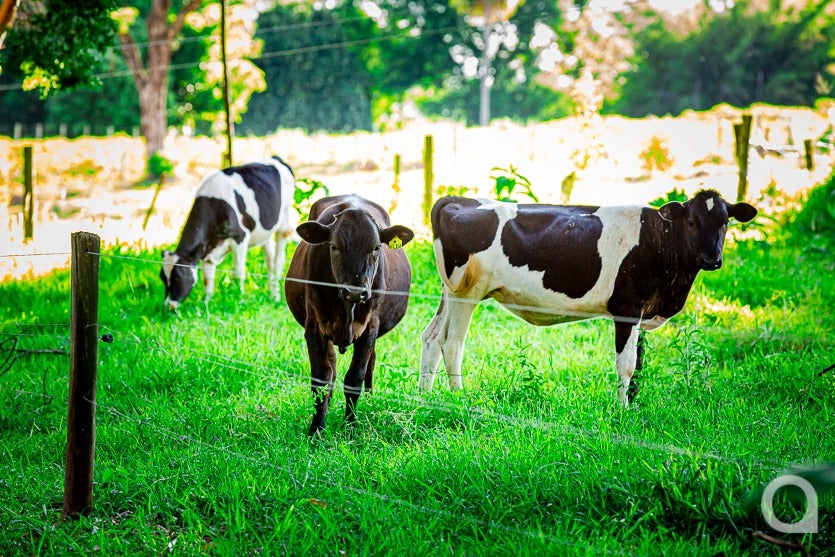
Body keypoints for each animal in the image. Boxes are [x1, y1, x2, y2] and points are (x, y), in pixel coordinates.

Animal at [160, 156, 295, 310]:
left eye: (177, 277)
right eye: (162, 278)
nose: (167, 306)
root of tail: (275, 158)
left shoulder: (240, 237)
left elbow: (238, 273)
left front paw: (240, 299)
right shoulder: (207, 250)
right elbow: (207, 279)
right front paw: (206, 303)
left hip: (284, 220)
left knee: (278, 258)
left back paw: (276, 295)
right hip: (265, 231)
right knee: (270, 261)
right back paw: (273, 295)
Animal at [285, 194, 414, 435]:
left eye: (376, 248)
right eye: (334, 247)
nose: (355, 291)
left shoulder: (370, 328)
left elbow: (354, 379)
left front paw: (350, 427)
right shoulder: (314, 328)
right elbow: (320, 381)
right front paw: (317, 429)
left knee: (370, 362)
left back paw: (370, 399)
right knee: (331, 371)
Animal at [419, 190, 757, 405]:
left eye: (725, 222)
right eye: (692, 222)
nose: (712, 259)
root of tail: (458, 198)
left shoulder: (644, 309)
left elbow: (640, 364)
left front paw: (633, 406)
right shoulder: (627, 308)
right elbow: (627, 365)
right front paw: (621, 411)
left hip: (450, 291)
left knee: (432, 337)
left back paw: (424, 396)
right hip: (467, 292)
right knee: (452, 343)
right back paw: (459, 398)